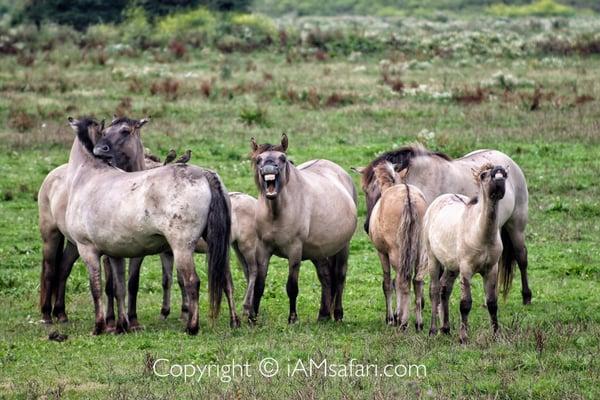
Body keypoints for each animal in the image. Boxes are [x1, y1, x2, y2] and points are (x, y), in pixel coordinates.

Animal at [63, 116, 232, 334]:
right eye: (104, 132)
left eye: (125, 132)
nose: (101, 150)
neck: (88, 175)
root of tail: (204, 173)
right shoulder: (115, 254)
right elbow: (118, 288)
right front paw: (121, 325)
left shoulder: (87, 250)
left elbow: (96, 288)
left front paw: (99, 327)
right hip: (216, 245)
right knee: (225, 279)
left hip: (182, 248)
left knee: (192, 282)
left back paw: (192, 327)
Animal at [248, 134, 356, 322]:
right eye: (258, 159)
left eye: (282, 158)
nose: (269, 168)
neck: (276, 213)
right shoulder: (262, 249)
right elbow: (259, 285)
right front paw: (253, 318)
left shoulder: (294, 250)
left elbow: (292, 287)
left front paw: (293, 318)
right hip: (319, 252)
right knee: (326, 277)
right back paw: (323, 315)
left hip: (343, 247)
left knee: (340, 277)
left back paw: (337, 313)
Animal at [354, 145, 528, 304]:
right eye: (365, 190)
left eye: (384, 192)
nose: (367, 226)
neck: (423, 181)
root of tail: (507, 160)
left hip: (516, 227)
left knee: (522, 257)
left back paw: (527, 296)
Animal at [364, 161, 428, 330]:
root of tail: (408, 197)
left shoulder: (382, 253)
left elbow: (388, 283)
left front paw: (391, 317)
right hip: (420, 251)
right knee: (417, 281)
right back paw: (418, 323)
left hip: (396, 253)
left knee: (402, 281)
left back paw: (403, 322)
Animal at [422, 164, 510, 342]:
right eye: (484, 175)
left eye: (504, 174)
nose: (498, 179)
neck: (480, 234)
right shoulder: (466, 269)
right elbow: (465, 304)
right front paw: (463, 337)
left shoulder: (491, 269)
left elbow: (492, 303)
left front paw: (496, 335)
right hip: (433, 259)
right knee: (434, 290)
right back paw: (433, 330)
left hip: (452, 266)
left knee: (445, 288)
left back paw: (446, 328)